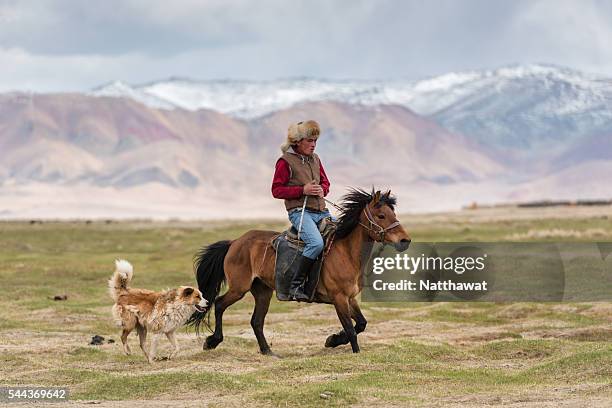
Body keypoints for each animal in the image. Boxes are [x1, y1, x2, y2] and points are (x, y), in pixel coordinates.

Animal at [189, 188, 408, 354]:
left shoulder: (350, 298)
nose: (405, 241)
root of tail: (235, 242)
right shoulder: (339, 298)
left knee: (256, 321)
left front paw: (332, 340)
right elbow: (351, 329)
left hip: (262, 291)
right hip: (239, 288)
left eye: (394, 214)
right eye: (381, 216)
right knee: (219, 304)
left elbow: (361, 324)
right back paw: (212, 341)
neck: (346, 252)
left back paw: (268, 351)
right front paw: (353, 350)